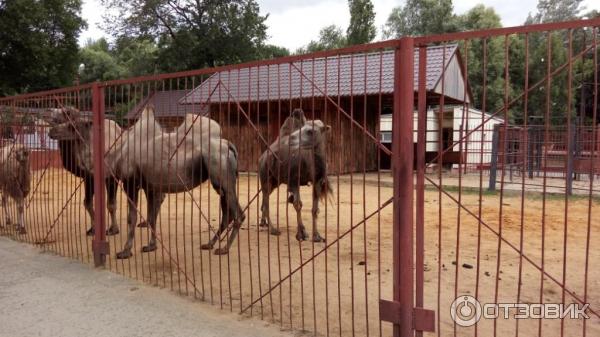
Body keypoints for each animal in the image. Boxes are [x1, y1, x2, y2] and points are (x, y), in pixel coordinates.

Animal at [112, 106, 244, 256]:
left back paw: (224, 249)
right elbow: (151, 217)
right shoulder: (149, 186)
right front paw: (151, 246)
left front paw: (125, 251)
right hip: (220, 183)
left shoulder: (130, 181)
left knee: (238, 215)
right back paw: (209, 244)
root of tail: (228, 145)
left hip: (222, 174)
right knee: (227, 214)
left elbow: (132, 217)